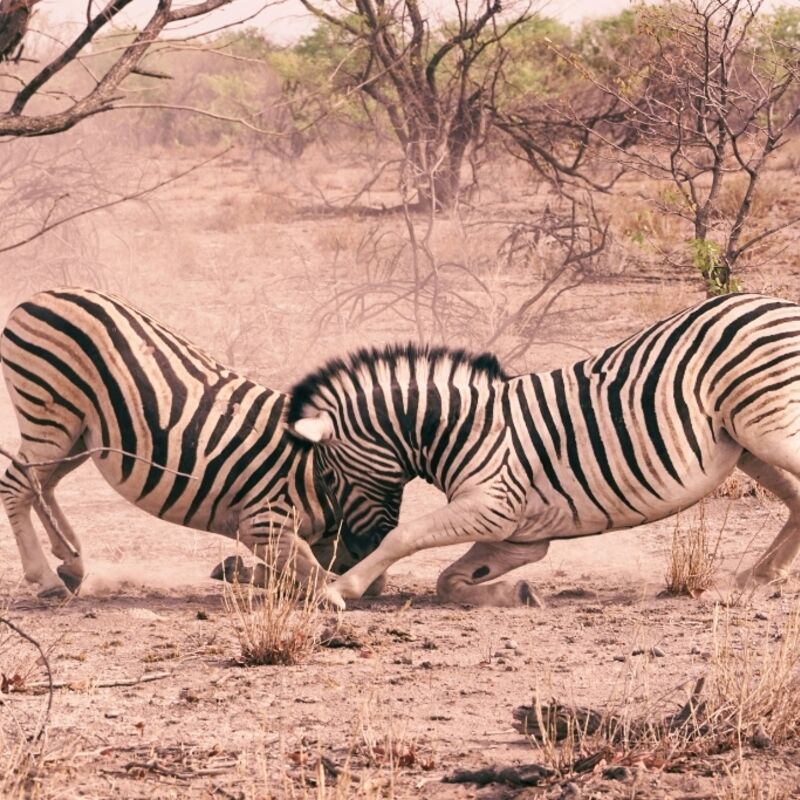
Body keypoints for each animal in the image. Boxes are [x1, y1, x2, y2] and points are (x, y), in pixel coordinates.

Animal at [0, 290, 340, 596]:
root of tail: (39, 296)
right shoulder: (263, 520)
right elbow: (319, 573)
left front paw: (244, 572)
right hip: (51, 415)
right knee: (16, 485)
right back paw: (47, 578)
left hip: (77, 435)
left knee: (41, 485)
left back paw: (72, 560)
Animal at [288, 292, 800, 608]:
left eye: (328, 476)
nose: (344, 557)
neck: (461, 428)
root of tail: (778, 303)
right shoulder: (518, 535)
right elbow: (449, 580)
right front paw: (515, 595)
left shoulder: (491, 505)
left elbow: (404, 536)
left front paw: (338, 590)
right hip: (747, 444)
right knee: (797, 501)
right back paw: (757, 577)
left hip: (769, 429)